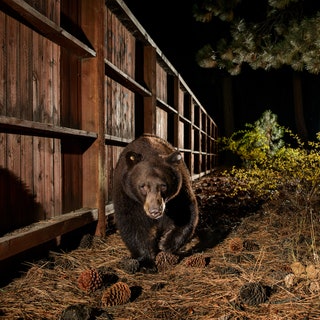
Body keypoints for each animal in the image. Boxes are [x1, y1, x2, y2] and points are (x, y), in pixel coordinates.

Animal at [112, 133, 198, 270]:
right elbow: (131, 223)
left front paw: (165, 243)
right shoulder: (127, 194)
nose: (155, 211)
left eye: (163, 186)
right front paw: (146, 261)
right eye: (143, 186)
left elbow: (186, 213)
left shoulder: (178, 194)